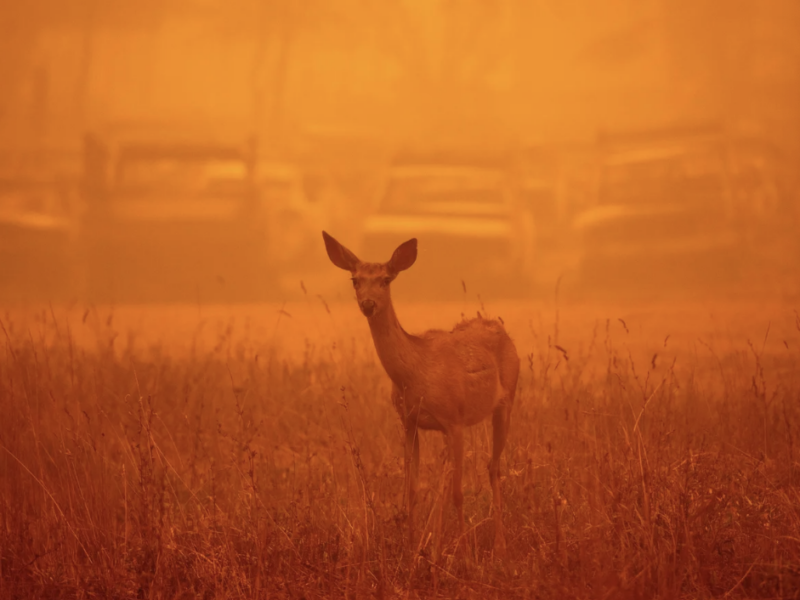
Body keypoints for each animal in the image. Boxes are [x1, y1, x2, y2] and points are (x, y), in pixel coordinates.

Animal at [322, 229, 520, 552]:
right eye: (355, 279)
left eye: (386, 279)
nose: (368, 304)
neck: (416, 373)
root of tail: (500, 328)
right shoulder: (409, 422)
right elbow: (413, 489)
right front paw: (413, 548)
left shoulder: (455, 420)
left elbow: (458, 492)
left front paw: (465, 553)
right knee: (449, 475)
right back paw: (437, 544)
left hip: (507, 401)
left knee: (492, 467)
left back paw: (500, 544)